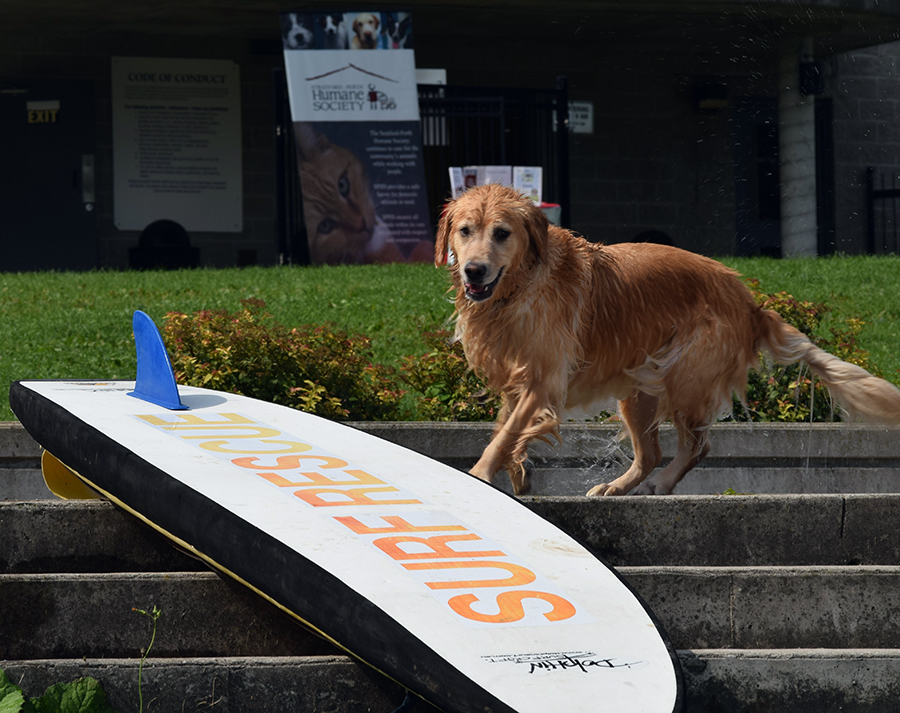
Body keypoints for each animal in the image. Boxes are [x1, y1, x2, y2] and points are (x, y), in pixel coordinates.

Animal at [434, 184, 900, 496]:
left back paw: (661, 483)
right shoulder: (516, 380)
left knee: (698, 446)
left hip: (684, 377)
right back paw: (618, 487)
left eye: (502, 233)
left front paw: (479, 475)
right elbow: (507, 430)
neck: (518, 290)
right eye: (465, 230)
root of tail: (752, 303)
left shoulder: (543, 380)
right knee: (652, 453)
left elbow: (506, 434)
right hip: (638, 386)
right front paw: (517, 473)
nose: (474, 270)